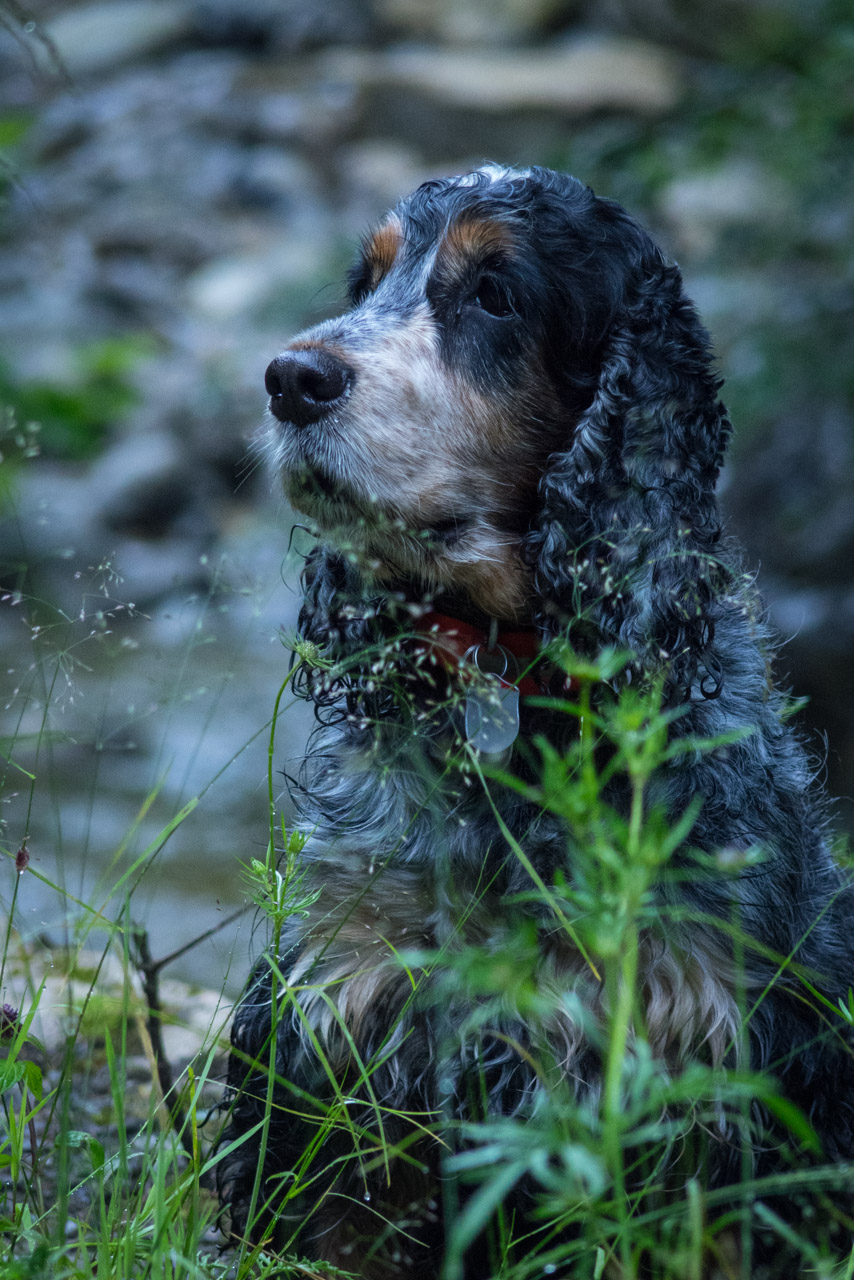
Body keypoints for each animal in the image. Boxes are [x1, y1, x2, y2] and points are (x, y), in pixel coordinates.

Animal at [222, 167, 854, 1269]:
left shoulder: (712, 1062)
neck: (506, 674)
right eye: (367, 280)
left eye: (494, 296)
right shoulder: (339, 1019)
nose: (291, 378)